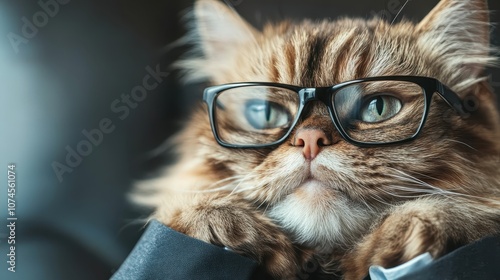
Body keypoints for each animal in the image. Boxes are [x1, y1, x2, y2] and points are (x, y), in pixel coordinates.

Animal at [136, 0, 500, 278]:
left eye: (379, 107)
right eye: (266, 113)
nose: (310, 140)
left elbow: (457, 210)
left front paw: (417, 224)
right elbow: (187, 205)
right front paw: (219, 219)